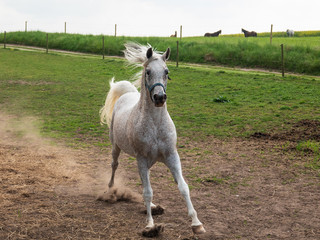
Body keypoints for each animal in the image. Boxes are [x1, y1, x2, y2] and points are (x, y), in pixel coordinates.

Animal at [99, 42, 205, 235]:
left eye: (167, 71)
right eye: (148, 71)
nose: (159, 97)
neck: (155, 126)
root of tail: (127, 94)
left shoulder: (171, 156)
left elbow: (183, 187)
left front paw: (196, 223)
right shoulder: (141, 158)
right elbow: (147, 192)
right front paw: (150, 225)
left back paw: (155, 207)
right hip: (116, 147)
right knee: (114, 165)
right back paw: (110, 190)